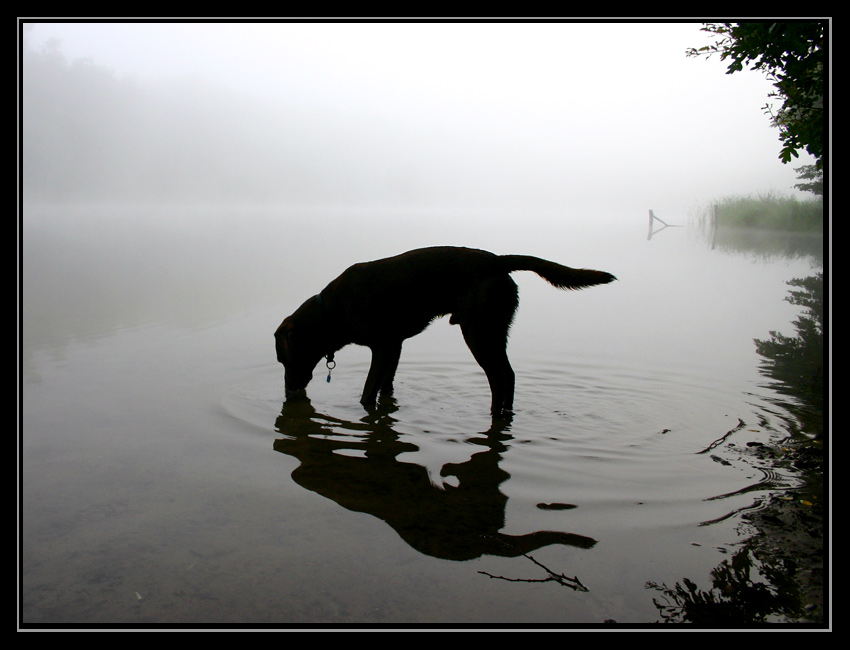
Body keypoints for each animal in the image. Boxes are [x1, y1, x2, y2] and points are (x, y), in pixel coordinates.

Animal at [274, 246, 612, 418]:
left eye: (284, 359)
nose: (289, 393)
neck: (331, 312)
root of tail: (497, 261)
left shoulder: (382, 345)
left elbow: (369, 392)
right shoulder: (395, 346)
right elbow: (386, 386)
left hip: (477, 332)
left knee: (499, 378)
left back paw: (493, 415)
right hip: (494, 331)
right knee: (510, 375)